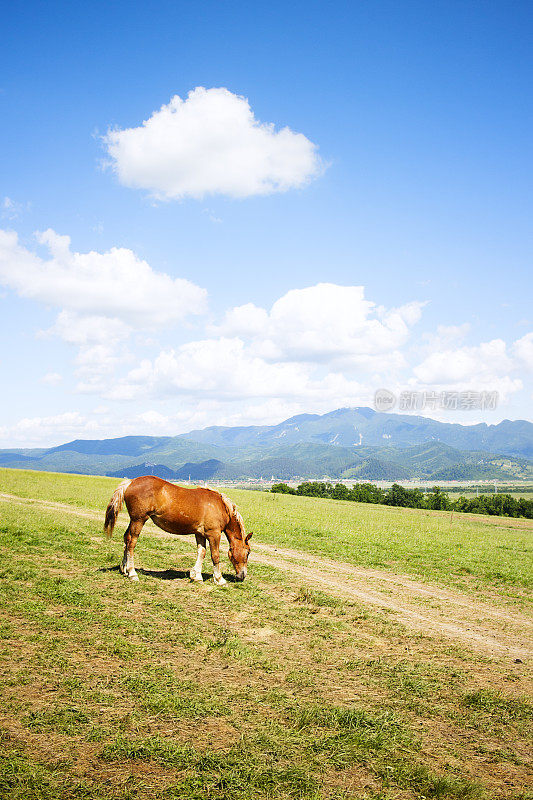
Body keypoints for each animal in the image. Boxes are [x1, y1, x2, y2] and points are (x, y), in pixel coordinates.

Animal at [106, 478, 254, 584]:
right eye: (247, 553)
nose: (242, 576)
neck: (221, 506)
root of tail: (130, 482)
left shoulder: (199, 534)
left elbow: (201, 552)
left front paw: (196, 576)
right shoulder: (214, 534)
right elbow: (215, 556)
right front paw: (219, 579)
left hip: (134, 521)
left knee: (126, 538)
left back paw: (124, 568)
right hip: (139, 520)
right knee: (131, 543)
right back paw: (132, 573)